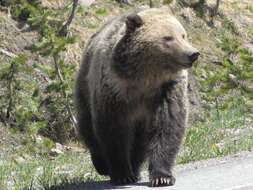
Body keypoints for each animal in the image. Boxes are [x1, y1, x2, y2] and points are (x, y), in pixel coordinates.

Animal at [75, 7, 200, 187]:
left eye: (183, 35)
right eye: (168, 38)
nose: (193, 53)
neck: (144, 78)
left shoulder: (167, 90)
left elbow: (168, 126)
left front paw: (162, 176)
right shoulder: (114, 89)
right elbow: (113, 130)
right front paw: (121, 174)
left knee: (139, 143)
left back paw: (134, 170)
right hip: (85, 86)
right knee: (88, 126)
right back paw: (102, 165)